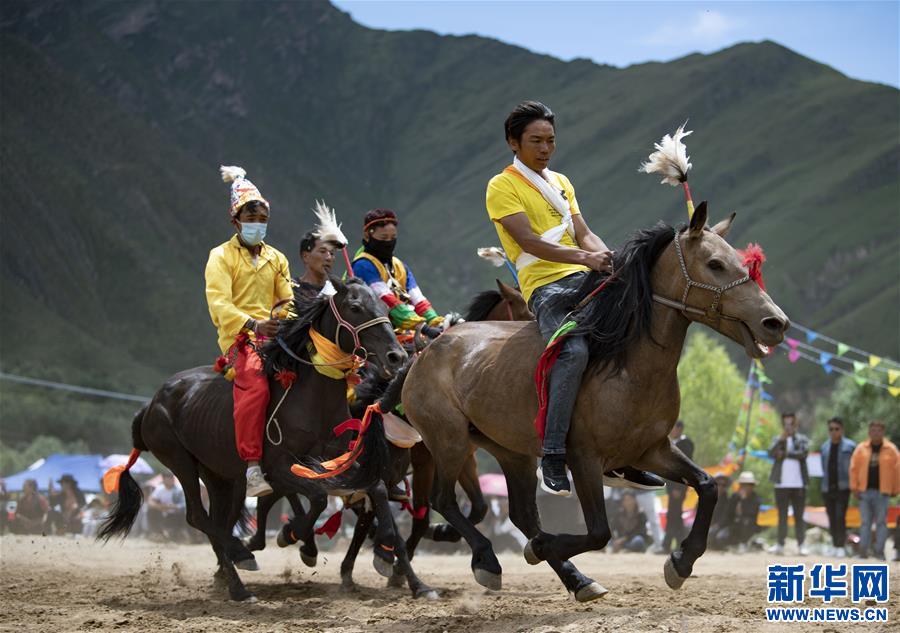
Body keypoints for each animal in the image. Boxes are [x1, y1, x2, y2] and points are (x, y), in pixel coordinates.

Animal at [96, 278, 414, 600]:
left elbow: (375, 489)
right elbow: (317, 498)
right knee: (198, 517)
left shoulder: (338, 460)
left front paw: (386, 548)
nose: (396, 356)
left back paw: (233, 569)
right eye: (355, 307)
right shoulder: (280, 467)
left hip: (217, 473)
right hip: (179, 460)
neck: (311, 397)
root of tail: (150, 405)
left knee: (219, 519)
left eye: (385, 308)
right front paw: (292, 535)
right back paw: (239, 574)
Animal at [400, 201, 788, 596]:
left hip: (510, 452)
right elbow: (600, 531)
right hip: (448, 441)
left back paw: (575, 578)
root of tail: (428, 349)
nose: (776, 322)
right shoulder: (584, 458)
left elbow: (708, 486)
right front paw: (540, 547)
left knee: (520, 514)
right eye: (715, 264)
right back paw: (487, 560)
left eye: (742, 263)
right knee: (444, 500)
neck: (626, 366)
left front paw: (682, 561)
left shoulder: (653, 450)